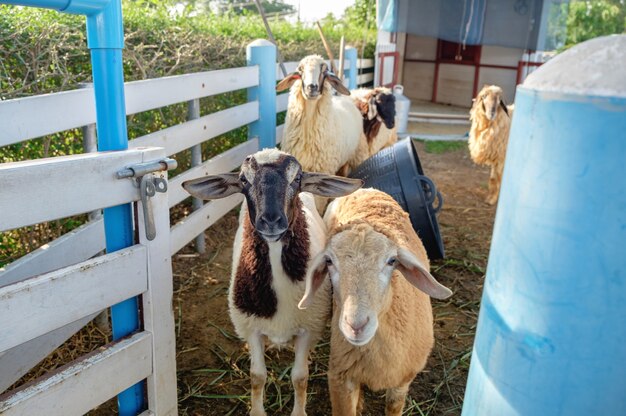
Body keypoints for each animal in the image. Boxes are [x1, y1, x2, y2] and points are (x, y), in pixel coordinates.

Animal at [180, 150, 360, 416]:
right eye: (243, 180)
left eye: (297, 179)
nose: (271, 221)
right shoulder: (250, 327)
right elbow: (257, 377)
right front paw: (257, 410)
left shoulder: (308, 327)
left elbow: (300, 377)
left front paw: (298, 412)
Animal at [296, 189, 448, 416]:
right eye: (329, 261)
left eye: (392, 261)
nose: (356, 325)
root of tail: (366, 189)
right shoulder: (340, 379)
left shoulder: (402, 381)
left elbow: (393, 407)